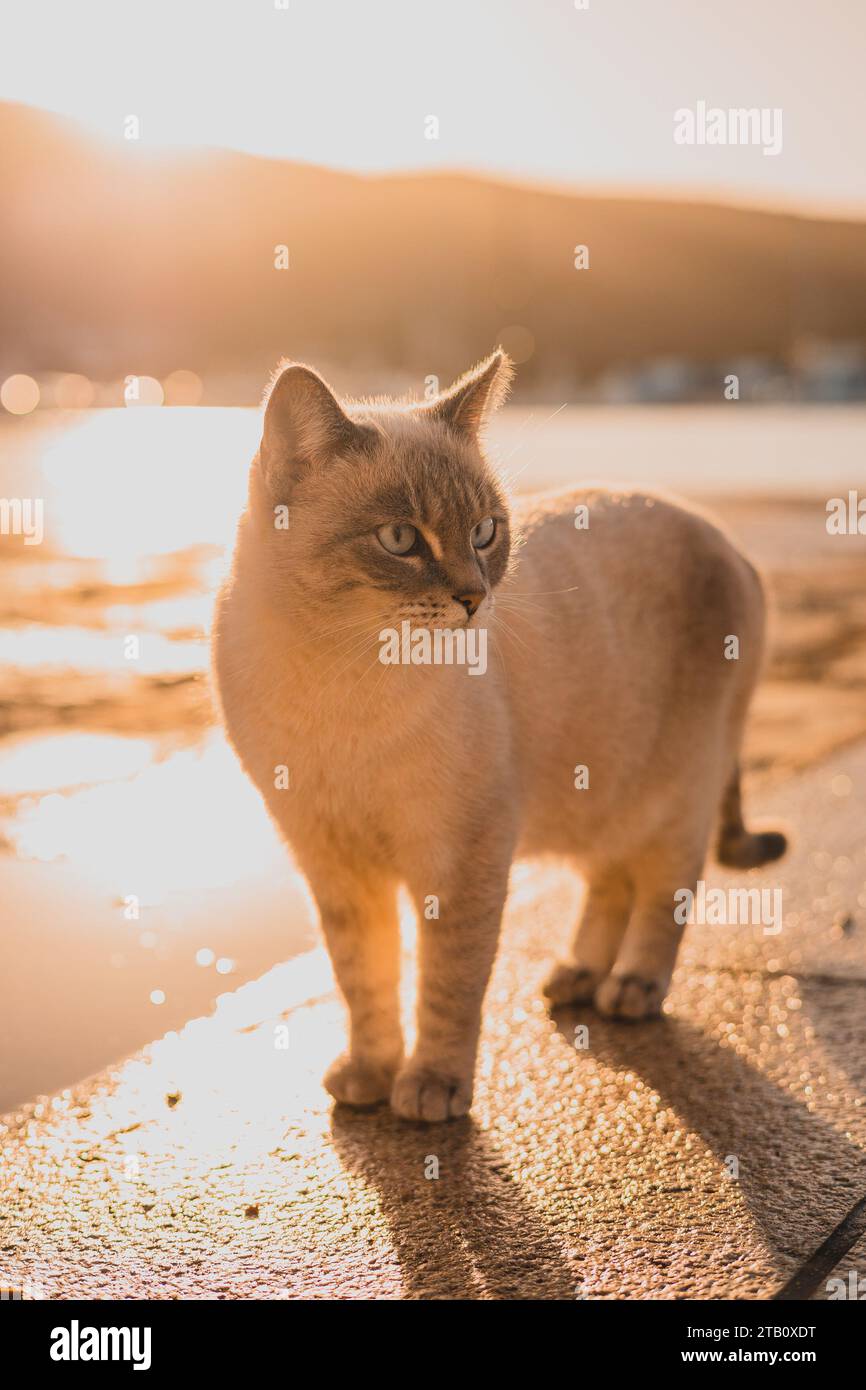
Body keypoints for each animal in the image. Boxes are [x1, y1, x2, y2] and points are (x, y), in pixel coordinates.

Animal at [214, 353, 789, 1123]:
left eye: (485, 532)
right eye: (401, 540)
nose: (473, 598)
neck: (338, 681)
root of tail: (730, 539)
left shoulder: (460, 859)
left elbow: (446, 983)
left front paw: (429, 1089)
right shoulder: (334, 864)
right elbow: (364, 980)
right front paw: (369, 1076)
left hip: (674, 793)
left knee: (667, 887)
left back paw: (630, 988)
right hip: (601, 792)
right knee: (610, 879)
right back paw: (576, 975)